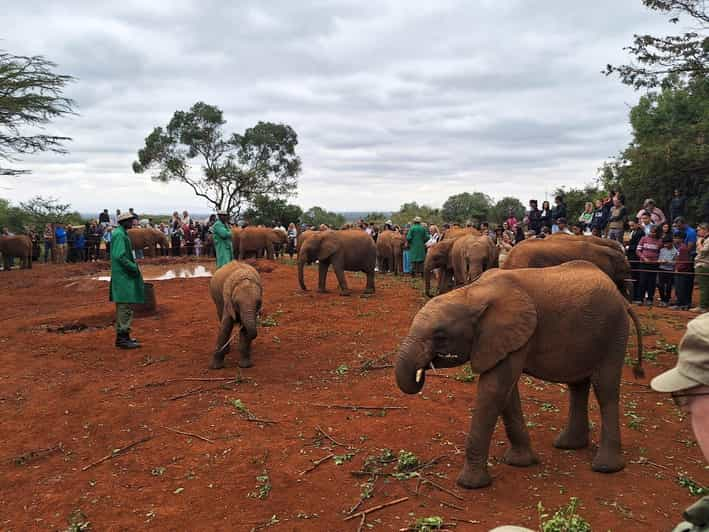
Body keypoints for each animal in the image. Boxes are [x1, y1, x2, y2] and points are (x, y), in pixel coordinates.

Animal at [396, 260, 644, 488]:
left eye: (440, 336)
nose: (422, 372)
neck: (472, 294)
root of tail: (622, 298)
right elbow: (506, 392)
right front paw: (521, 462)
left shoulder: (513, 333)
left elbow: (494, 389)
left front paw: (470, 484)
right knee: (578, 385)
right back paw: (568, 445)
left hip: (614, 331)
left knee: (605, 389)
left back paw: (605, 467)